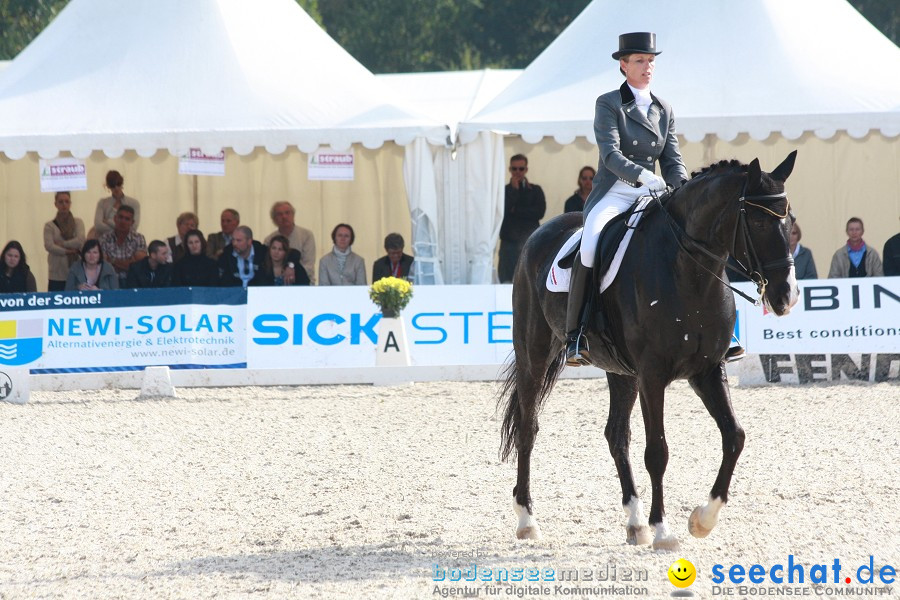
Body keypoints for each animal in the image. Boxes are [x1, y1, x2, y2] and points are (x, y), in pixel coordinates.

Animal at [500, 152, 800, 552]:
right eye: (759, 221)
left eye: (790, 219)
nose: (787, 296)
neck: (688, 272)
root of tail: (539, 233)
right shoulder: (653, 376)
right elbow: (657, 452)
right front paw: (663, 530)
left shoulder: (706, 371)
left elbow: (734, 436)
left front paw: (702, 520)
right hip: (534, 356)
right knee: (528, 429)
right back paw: (527, 520)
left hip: (621, 372)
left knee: (616, 436)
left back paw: (634, 521)